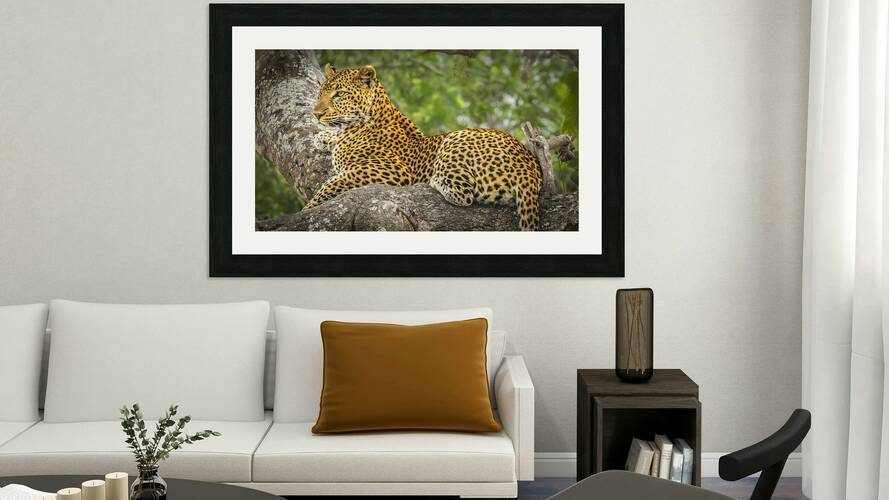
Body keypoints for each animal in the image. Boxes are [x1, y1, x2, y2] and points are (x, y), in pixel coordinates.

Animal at [306, 63, 542, 231]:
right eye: (320, 93)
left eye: (339, 94)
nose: (316, 114)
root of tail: (530, 167)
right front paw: (323, 138)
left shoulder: (393, 170)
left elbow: (331, 184)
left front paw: (307, 208)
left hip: (455, 138)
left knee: (464, 195)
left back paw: (435, 179)